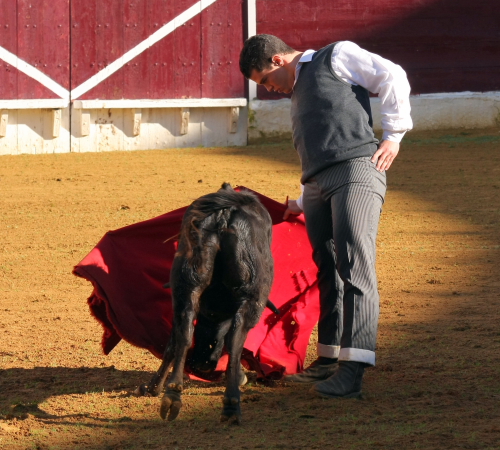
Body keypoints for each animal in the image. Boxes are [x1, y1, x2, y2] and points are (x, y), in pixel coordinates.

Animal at [136, 182, 274, 422]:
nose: (203, 363)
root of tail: (224, 214)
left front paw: (153, 388)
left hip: (186, 283)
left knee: (183, 332)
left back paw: (172, 395)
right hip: (252, 295)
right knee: (235, 339)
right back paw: (231, 405)